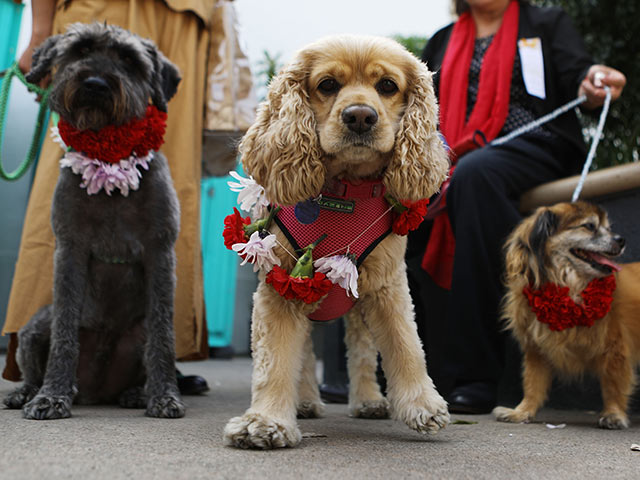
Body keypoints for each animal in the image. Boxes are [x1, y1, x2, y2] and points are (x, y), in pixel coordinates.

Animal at [3, 22, 185, 420]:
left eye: (130, 60)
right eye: (81, 49)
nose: (96, 84)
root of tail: (95, 391)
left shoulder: (160, 251)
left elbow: (163, 335)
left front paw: (164, 396)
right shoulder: (70, 249)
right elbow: (65, 332)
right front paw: (52, 396)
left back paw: (136, 393)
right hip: (34, 326)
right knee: (33, 362)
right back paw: (26, 391)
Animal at [496, 201, 640, 430]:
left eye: (608, 227)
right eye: (589, 226)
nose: (621, 240)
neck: (569, 286)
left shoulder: (615, 350)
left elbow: (613, 384)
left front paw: (614, 414)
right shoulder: (536, 349)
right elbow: (532, 383)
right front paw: (522, 412)